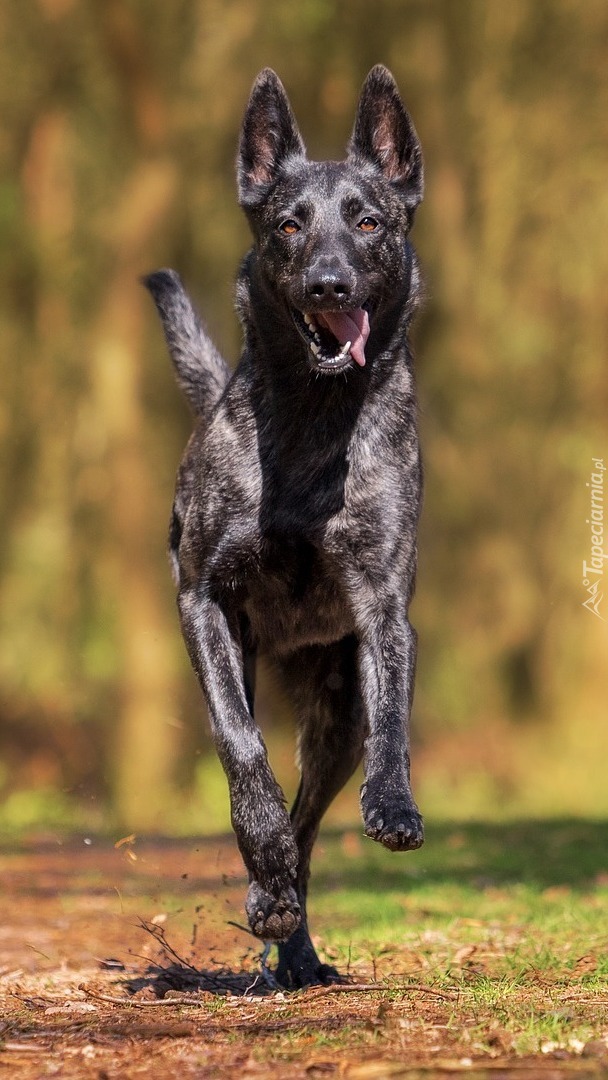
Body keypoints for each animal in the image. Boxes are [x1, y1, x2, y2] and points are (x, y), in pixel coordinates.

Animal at [144, 65, 425, 989]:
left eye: (369, 222)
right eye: (289, 225)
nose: (331, 284)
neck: (313, 419)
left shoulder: (383, 606)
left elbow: (395, 715)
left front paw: (395, 805)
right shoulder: (205, 604)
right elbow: (242, 751)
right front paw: (259, 862)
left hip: (336, 720)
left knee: (310, 825)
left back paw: (294, 943)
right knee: (277, 808)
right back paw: (271, 904)